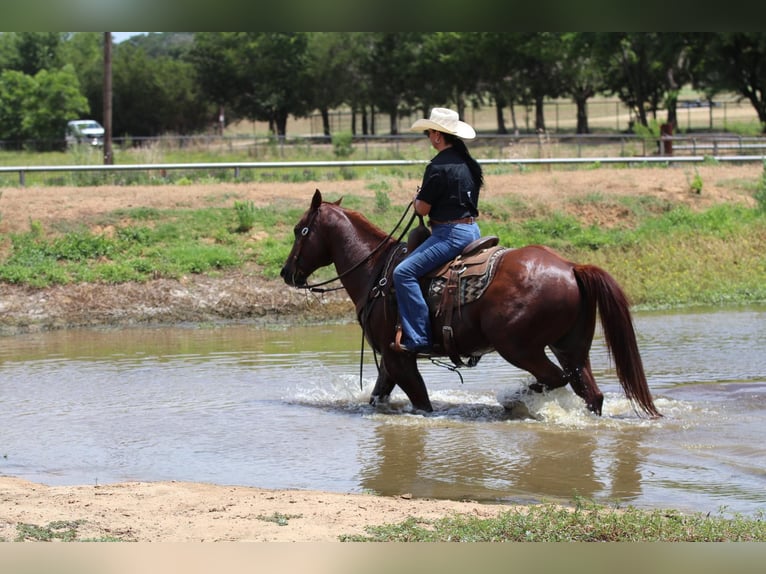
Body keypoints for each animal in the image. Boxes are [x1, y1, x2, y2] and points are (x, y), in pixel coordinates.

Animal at [280, 191, 664, 420]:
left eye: (301, 230)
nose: (287, 273)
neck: (377, 271)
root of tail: (570, 267)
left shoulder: (399, 357)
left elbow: (421, 402)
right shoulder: (390, 361)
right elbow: (378, 396)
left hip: (519, 347)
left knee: (554, 378)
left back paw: (514, 400)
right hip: (571, 346)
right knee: (588, 392)